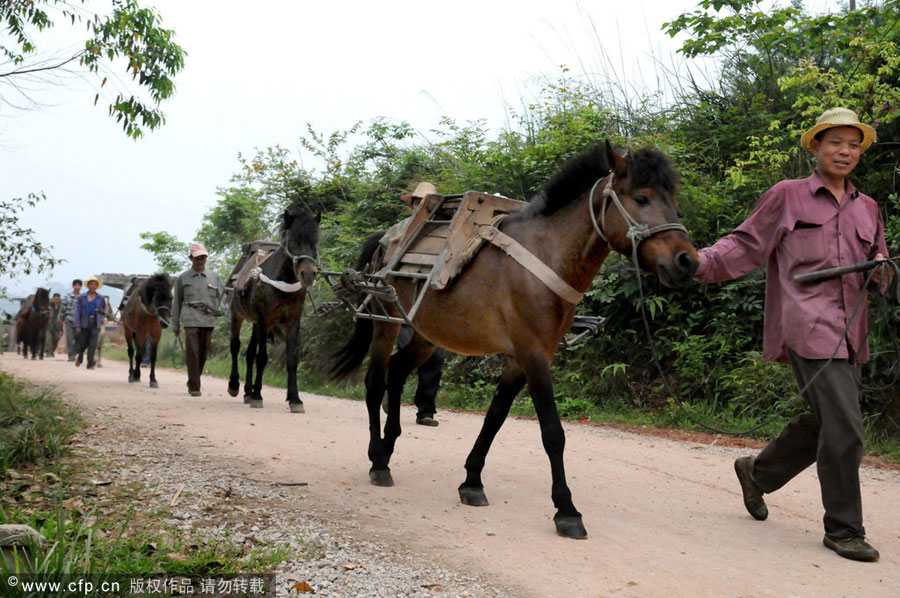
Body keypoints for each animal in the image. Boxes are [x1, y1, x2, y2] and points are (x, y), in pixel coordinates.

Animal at [229, 209, 320, 414]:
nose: (308, 275)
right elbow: (262, 357)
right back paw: (235, 386)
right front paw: (257, 396)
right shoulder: (264, 319)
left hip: (255, 324)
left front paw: (295, 399)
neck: (282, 282)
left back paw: (247, 391)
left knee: (249, 353)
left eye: (314, 242)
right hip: (238, 316)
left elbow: (291, 359)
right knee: (235, 347)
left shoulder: (292, 321)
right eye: (293, 241)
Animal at [332, 143, 704, 540]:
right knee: (376, 384)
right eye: (641, 197)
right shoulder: (533, 354)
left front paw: (472, 481)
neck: (545, 258)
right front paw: (566, 510)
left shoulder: (521, 358)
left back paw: (388, 448)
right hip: (385, 324)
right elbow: (553, 433)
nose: (688, 261)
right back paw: (377, 460)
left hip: (426, 335)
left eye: (673, 200)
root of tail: (385, 241)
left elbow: (495, 417)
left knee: (399, 372)